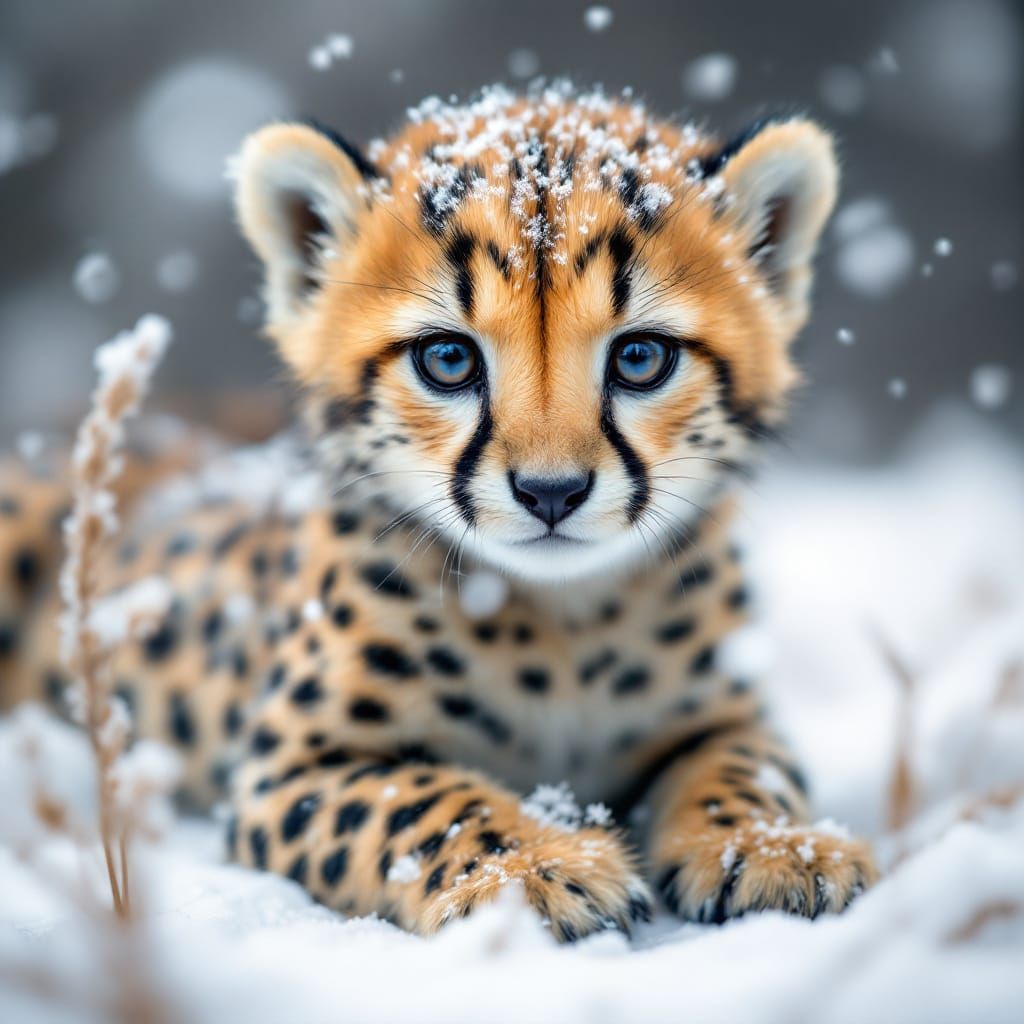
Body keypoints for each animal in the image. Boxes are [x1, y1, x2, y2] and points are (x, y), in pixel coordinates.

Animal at [0, 83, 878, 941]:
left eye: (639, 357)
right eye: (449, 359)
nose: (551, 492)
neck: (563, 624)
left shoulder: (724, 714)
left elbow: (747, 768)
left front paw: (774, 847)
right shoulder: (291, 769)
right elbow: (422, 802)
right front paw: (533, 868)